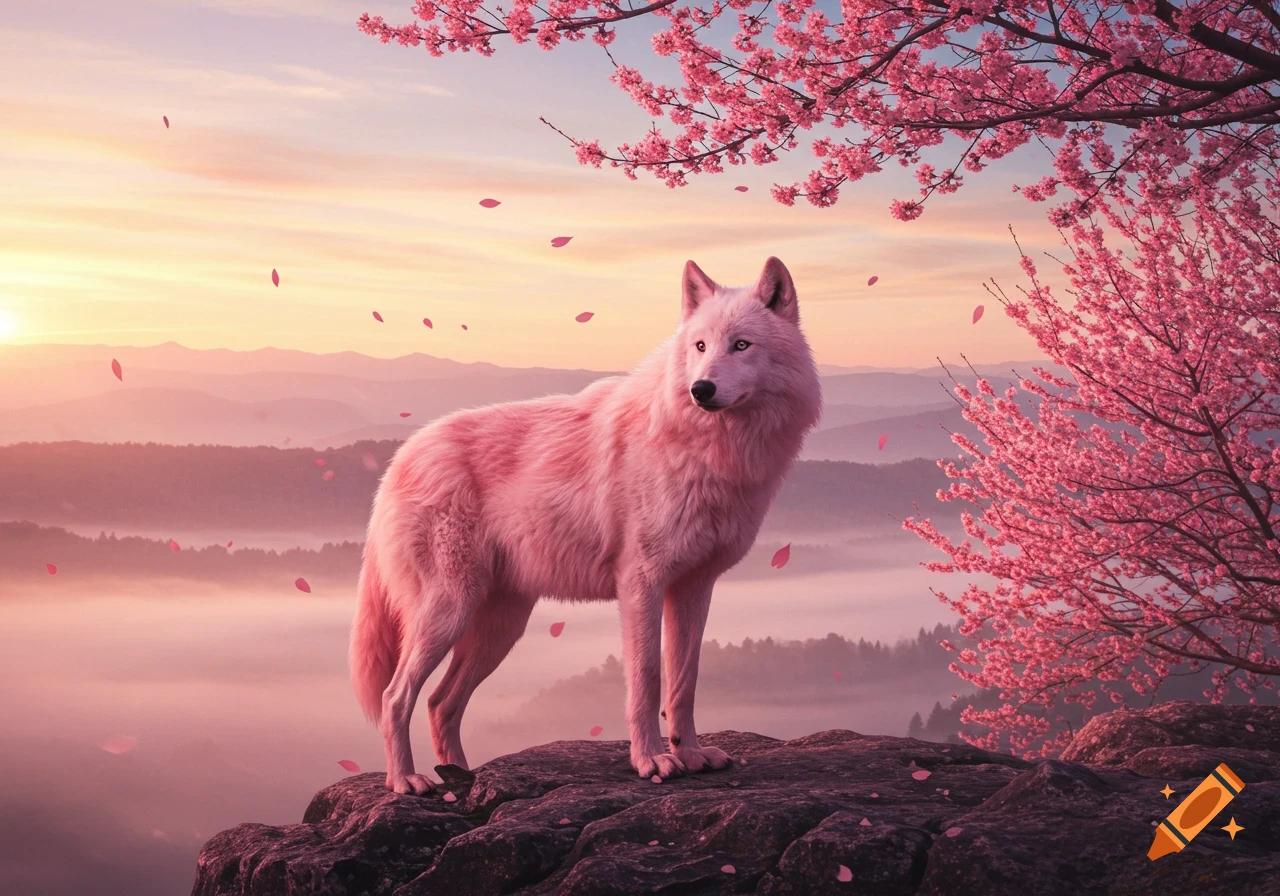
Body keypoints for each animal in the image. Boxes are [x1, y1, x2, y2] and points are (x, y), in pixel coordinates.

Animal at [350, 256, 822, 793]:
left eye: (741, 345)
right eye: (700, 347)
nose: (700, 389)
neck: (708, 448)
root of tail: (398, 460)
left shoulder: (694, 588)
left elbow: (684, 681)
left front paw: (691, 754)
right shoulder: (640, 583)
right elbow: (646, 678)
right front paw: (651, 760)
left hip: (499, 628)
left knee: (439, 702)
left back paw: (465, 779)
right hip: (449, 611)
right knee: (395, 697)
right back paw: (406, 781)